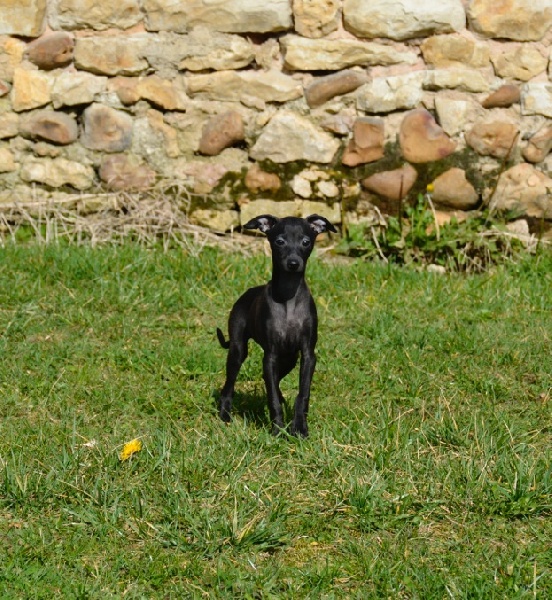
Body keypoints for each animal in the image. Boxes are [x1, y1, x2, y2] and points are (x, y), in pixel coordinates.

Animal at [216, 214, 336, 436]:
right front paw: (278, 430)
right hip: (238, 350)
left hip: (290, 358)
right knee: (229, 384)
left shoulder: (307, 355)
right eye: (280, 241)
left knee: (276, 381)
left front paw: (299, 428)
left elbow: (302, 394)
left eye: (306, 242)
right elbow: (271, 398)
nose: (293, 263)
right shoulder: (270, 356)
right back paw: (225, 414)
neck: (289, 295)